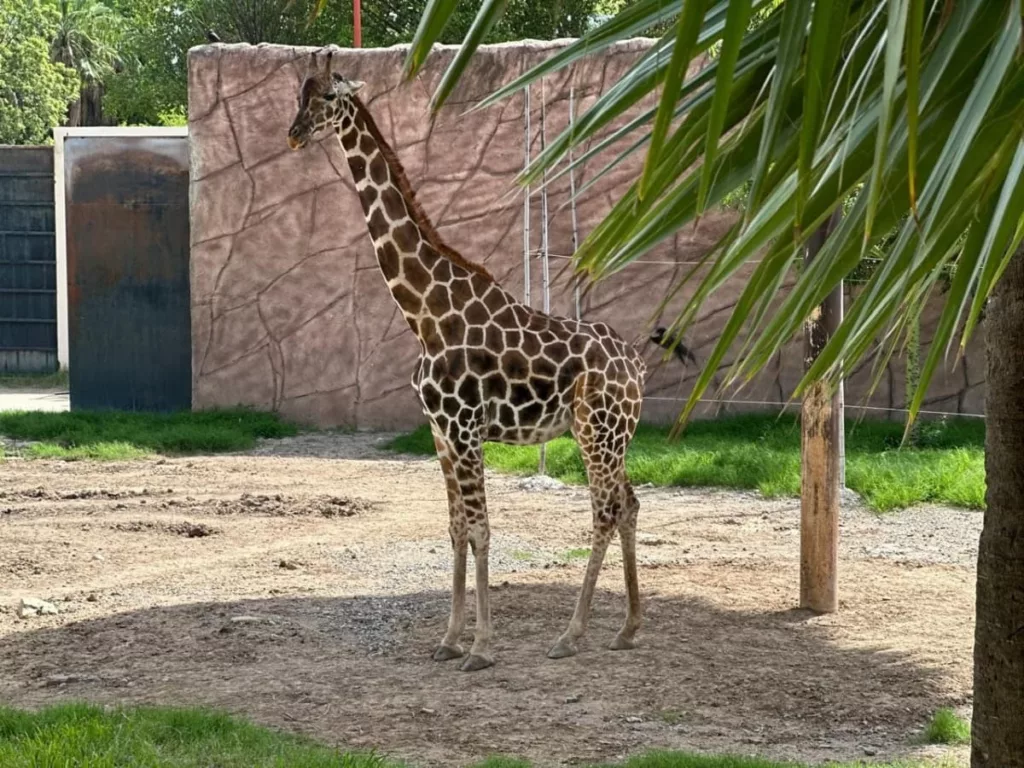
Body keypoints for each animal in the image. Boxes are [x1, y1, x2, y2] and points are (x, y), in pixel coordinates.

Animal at [284, 49, 643, 671]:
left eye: (328, 97)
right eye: (299, 96)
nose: (294, 134)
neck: (424, 314)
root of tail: (638, 365)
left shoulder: (465, 427)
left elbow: (480, 530)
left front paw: (481, 646)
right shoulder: (439, 430)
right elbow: (454, 528)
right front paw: (449, 639)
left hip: (599, 431)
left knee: (604, 509)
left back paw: (572, 635)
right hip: (607, 434)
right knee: (630, 502)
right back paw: (628, 627)